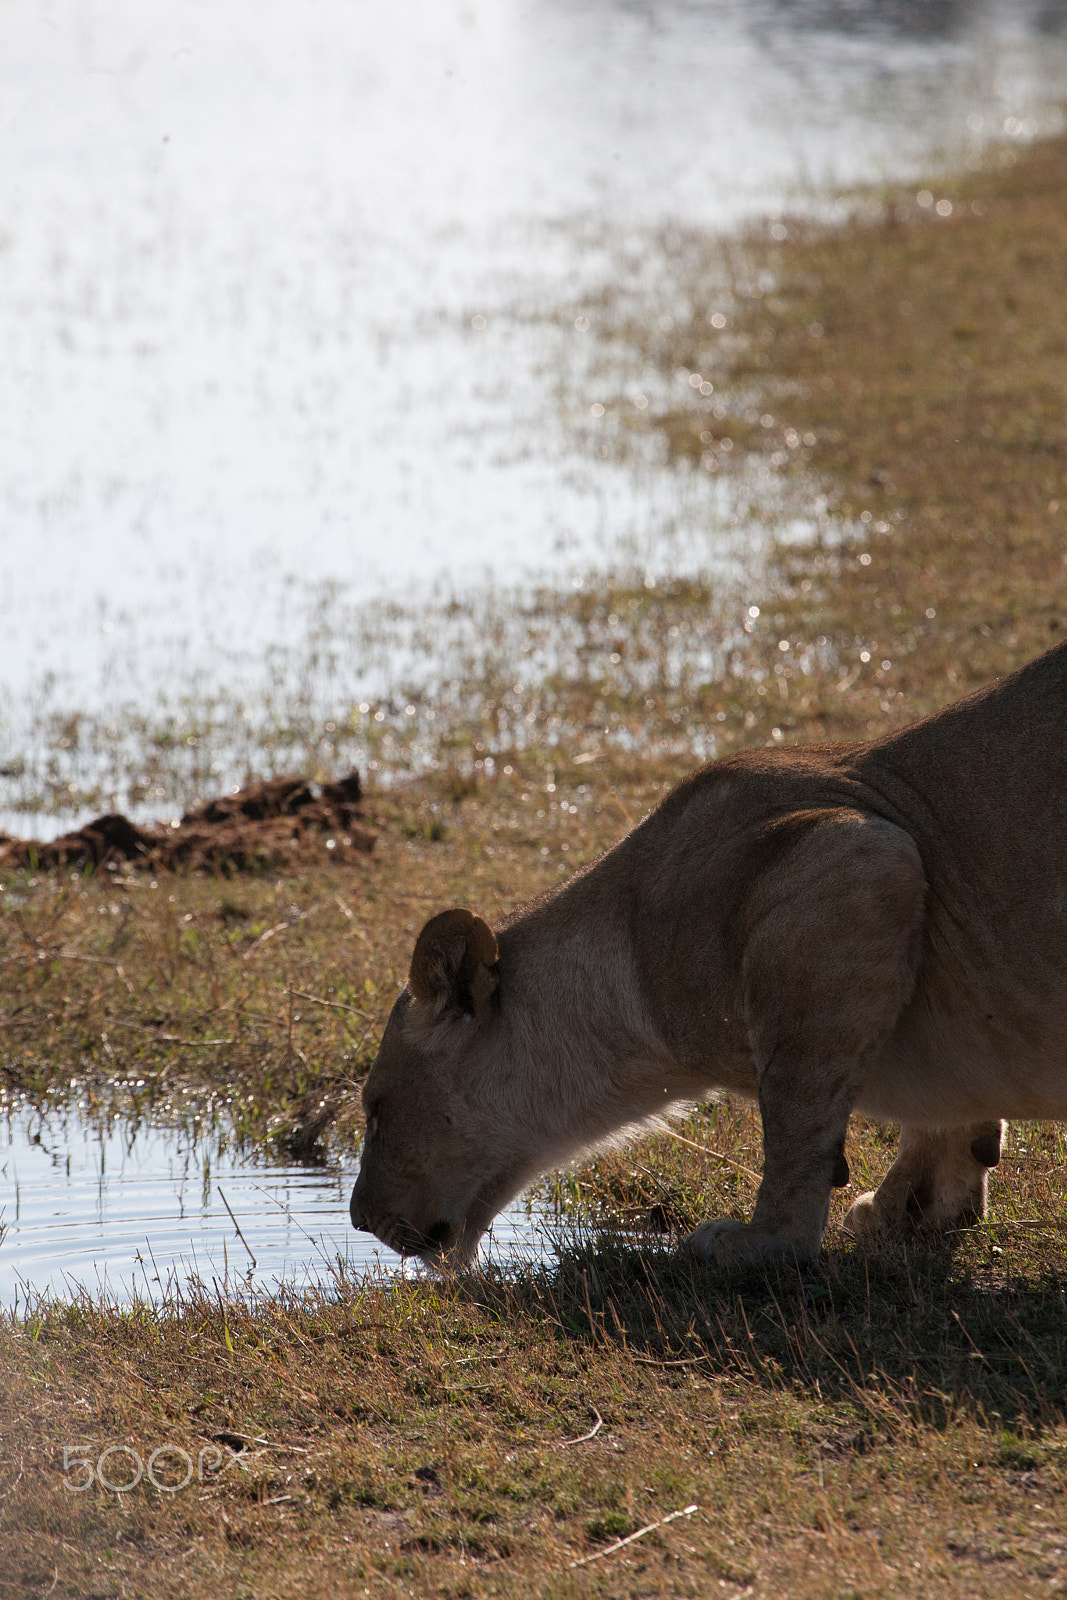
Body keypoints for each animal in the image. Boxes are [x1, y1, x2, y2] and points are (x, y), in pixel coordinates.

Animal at [349, 640, 1067, 1270]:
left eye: (376, 1110)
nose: (357, 1219)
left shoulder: (857, 857)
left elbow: (795, 1111)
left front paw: (763, 1242)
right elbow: (942, 1118)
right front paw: (913, 1207)